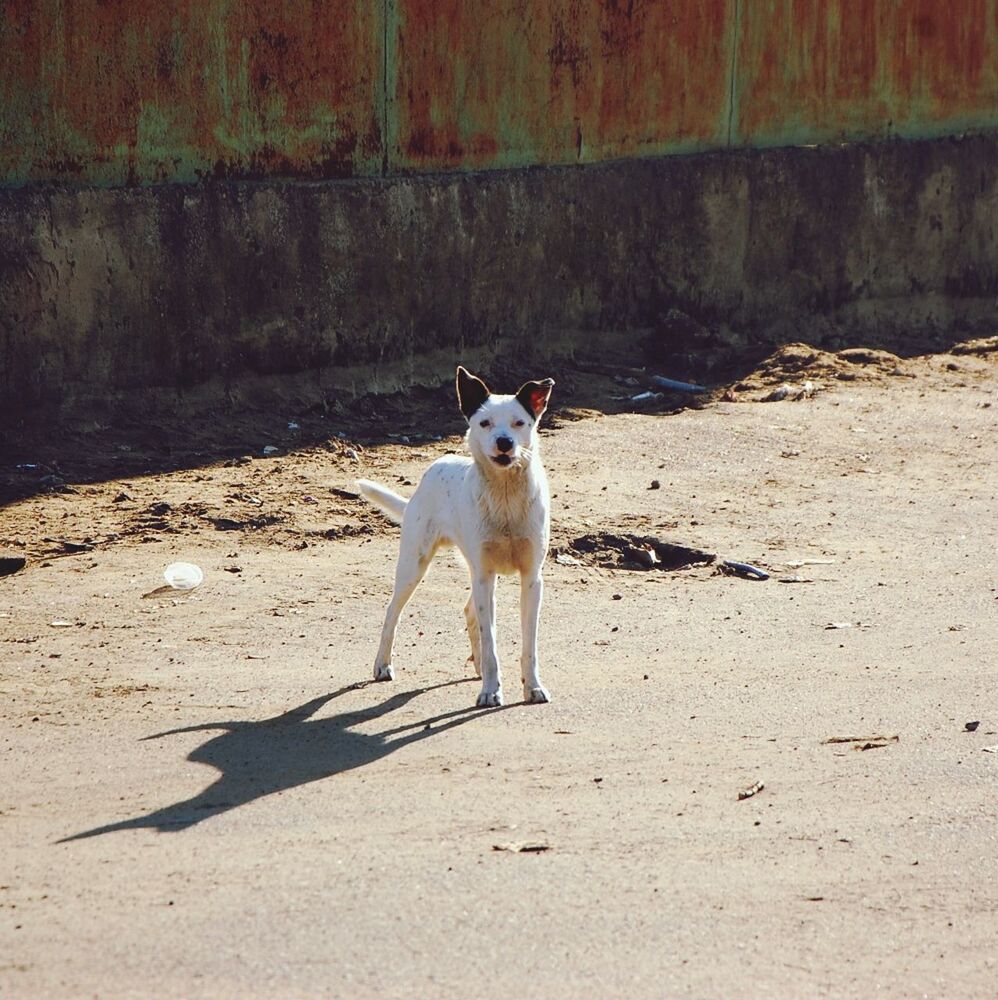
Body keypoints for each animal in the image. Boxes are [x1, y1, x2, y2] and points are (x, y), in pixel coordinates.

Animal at [360, 364, 560, 708]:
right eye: (485, 423)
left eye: (519, 423)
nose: (504, 442)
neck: (505, 497)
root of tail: (435, 467)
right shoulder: (485, 576)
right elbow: (491, 641)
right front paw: (491, 690)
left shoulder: (531, 579)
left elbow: (528, 645)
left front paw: (532, 686)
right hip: (414, 566)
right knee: (392, 613)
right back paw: (382, 664)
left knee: (469, 611)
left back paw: (478, 667)